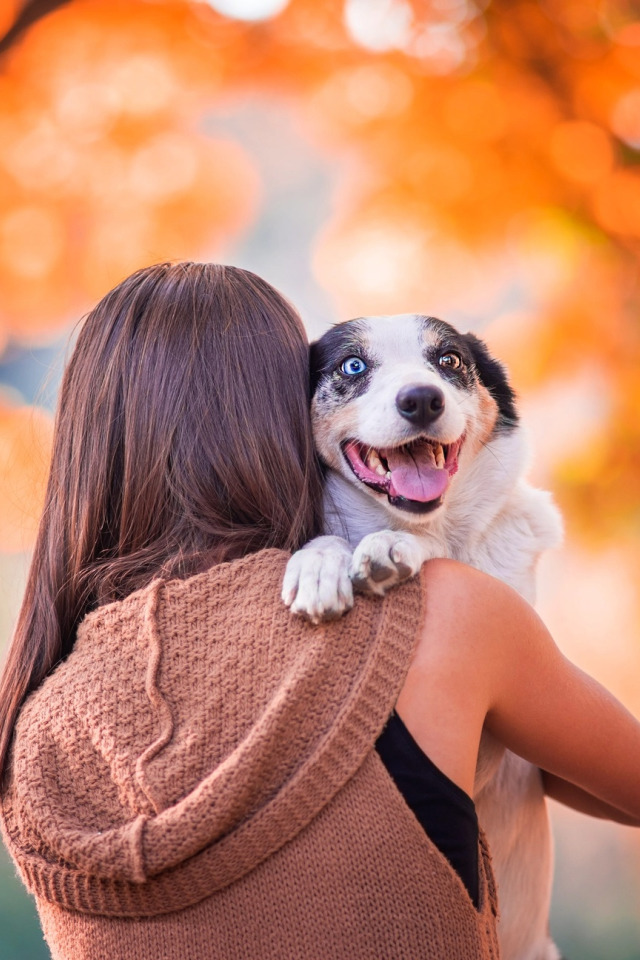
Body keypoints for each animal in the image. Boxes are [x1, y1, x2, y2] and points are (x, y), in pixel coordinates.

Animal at [282, 316, 564, 960]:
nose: (421, 399)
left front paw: (391, 549)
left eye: (450, 360)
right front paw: (320, 563)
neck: (431, 525)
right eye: (353, 366)